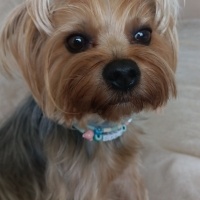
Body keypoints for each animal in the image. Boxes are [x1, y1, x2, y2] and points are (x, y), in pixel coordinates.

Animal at [0, 0, 178, 199]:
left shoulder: (127, 175)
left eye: (143, 35)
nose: (123, 73)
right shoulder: (80, 186)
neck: (103, 130)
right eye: (76, 42)